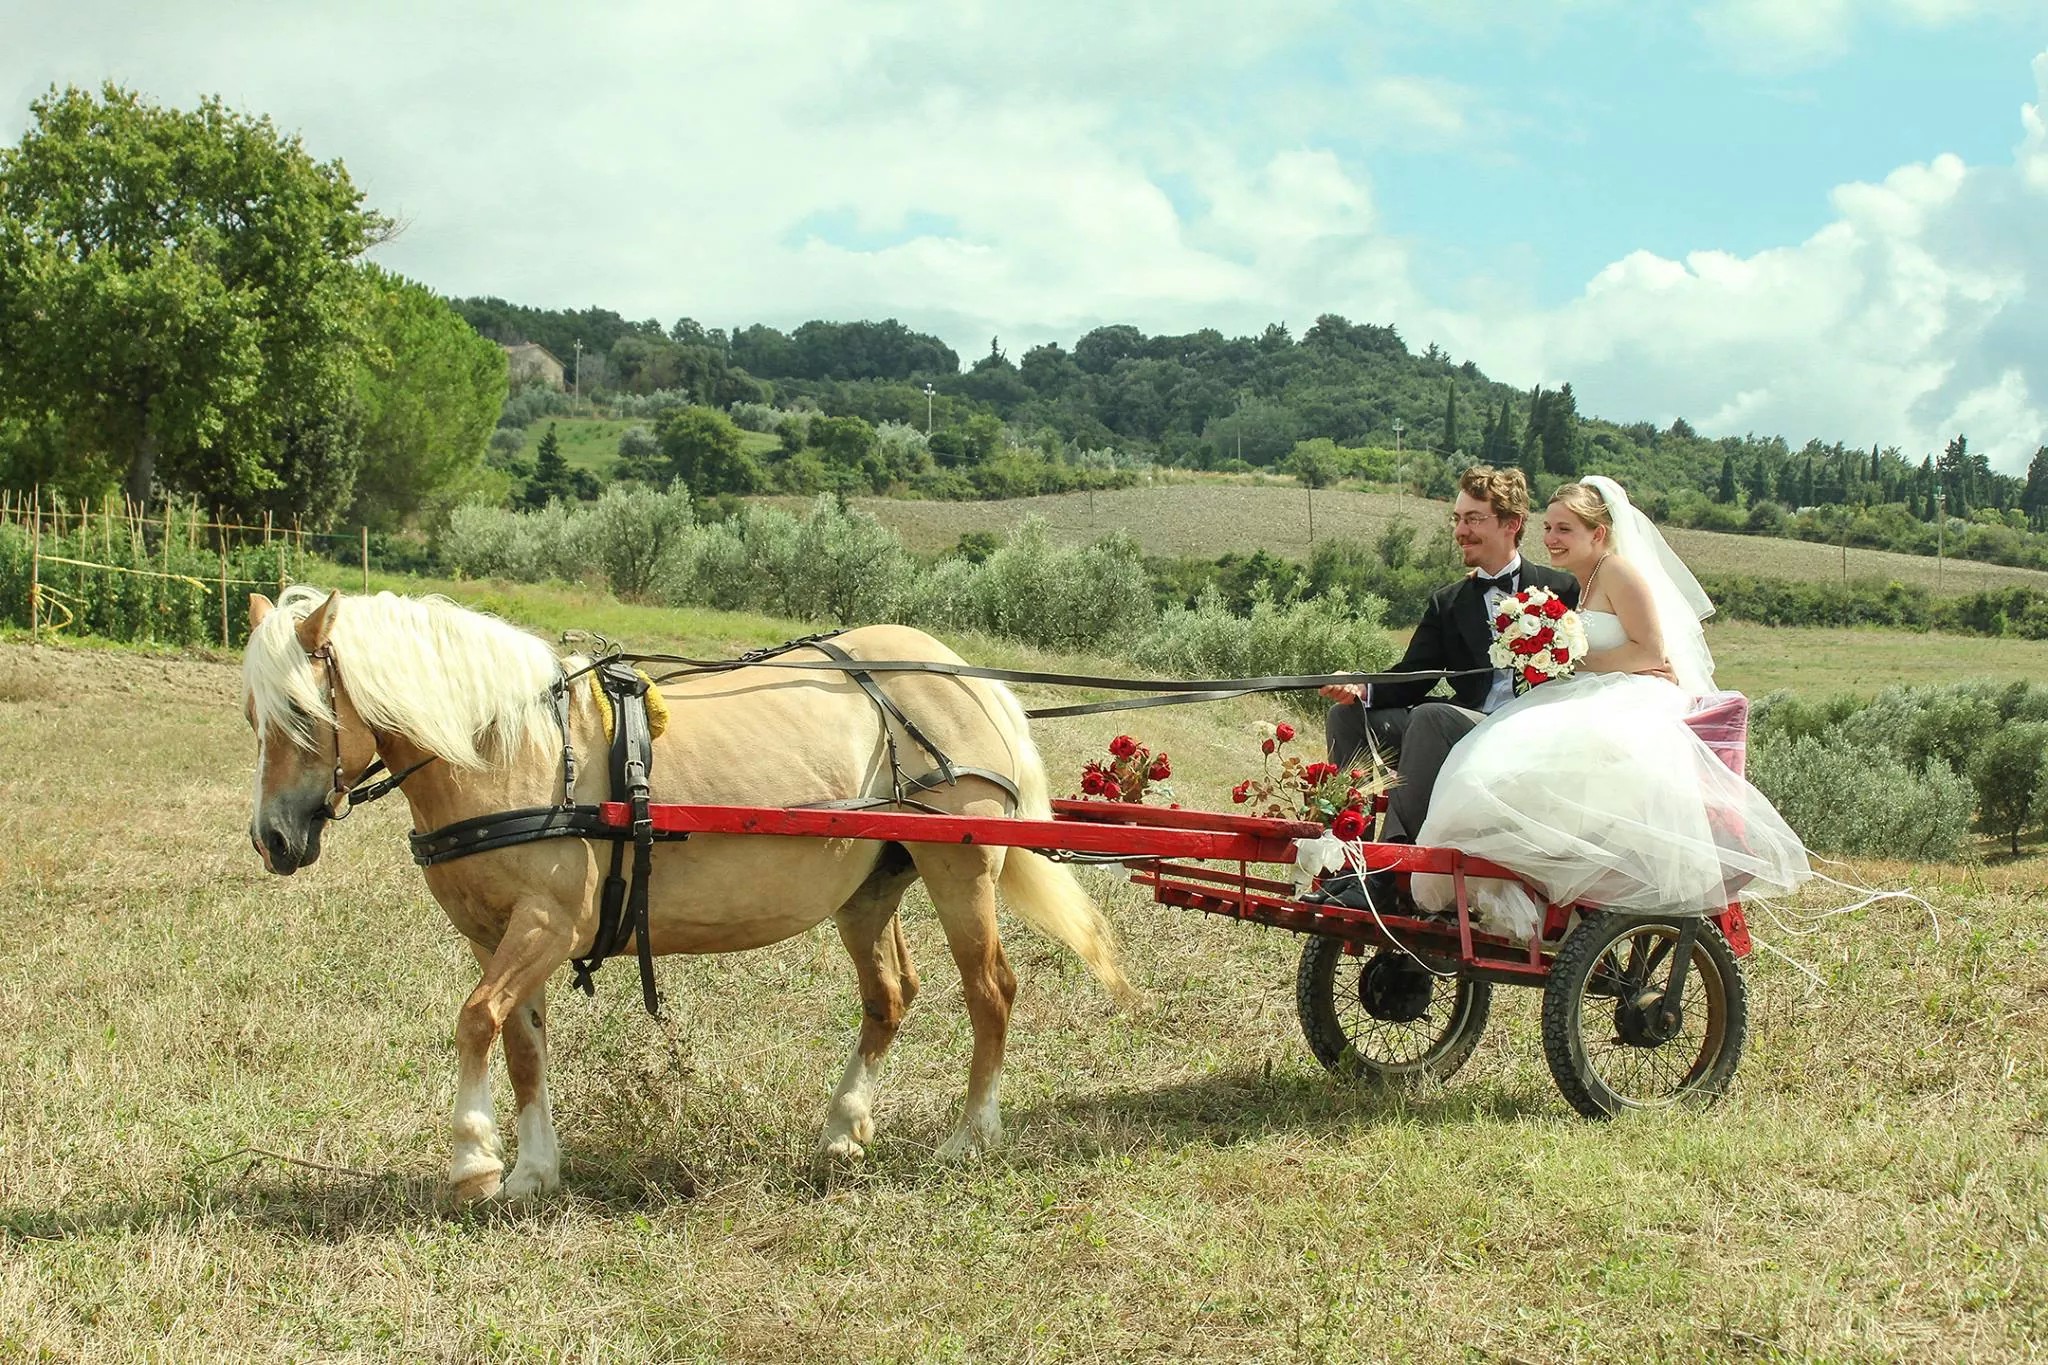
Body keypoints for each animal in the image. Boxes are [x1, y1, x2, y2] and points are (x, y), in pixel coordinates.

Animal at [245, 581, 1138, 1203]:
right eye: (253, 715)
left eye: (301, 712)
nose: (272, 839)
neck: (510, 747)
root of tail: (963, 673)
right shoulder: (496, 934)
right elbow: (521, 1042)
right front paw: (532, 1169)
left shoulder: (547, 922)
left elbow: (473, 1021)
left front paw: (472, 1158)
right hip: (872, 886)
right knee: (891, 995)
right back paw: (843, 1126)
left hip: (962, 869)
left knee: (991, 991)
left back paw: (970, 1135)